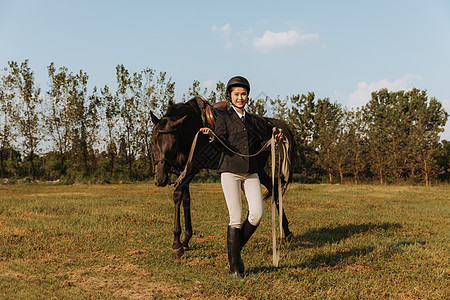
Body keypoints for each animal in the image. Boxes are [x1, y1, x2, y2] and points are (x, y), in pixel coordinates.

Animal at [149, 96, 294, 258]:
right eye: (153, 141)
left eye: (173, 143)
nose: (160, 179)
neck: (190, 132)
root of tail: (267, 123)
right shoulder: (181, 171)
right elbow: (185, 199)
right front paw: (185, 240)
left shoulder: (192, 169)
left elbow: (177, 195)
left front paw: (176, 244)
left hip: (256, 169)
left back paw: (285, 232)